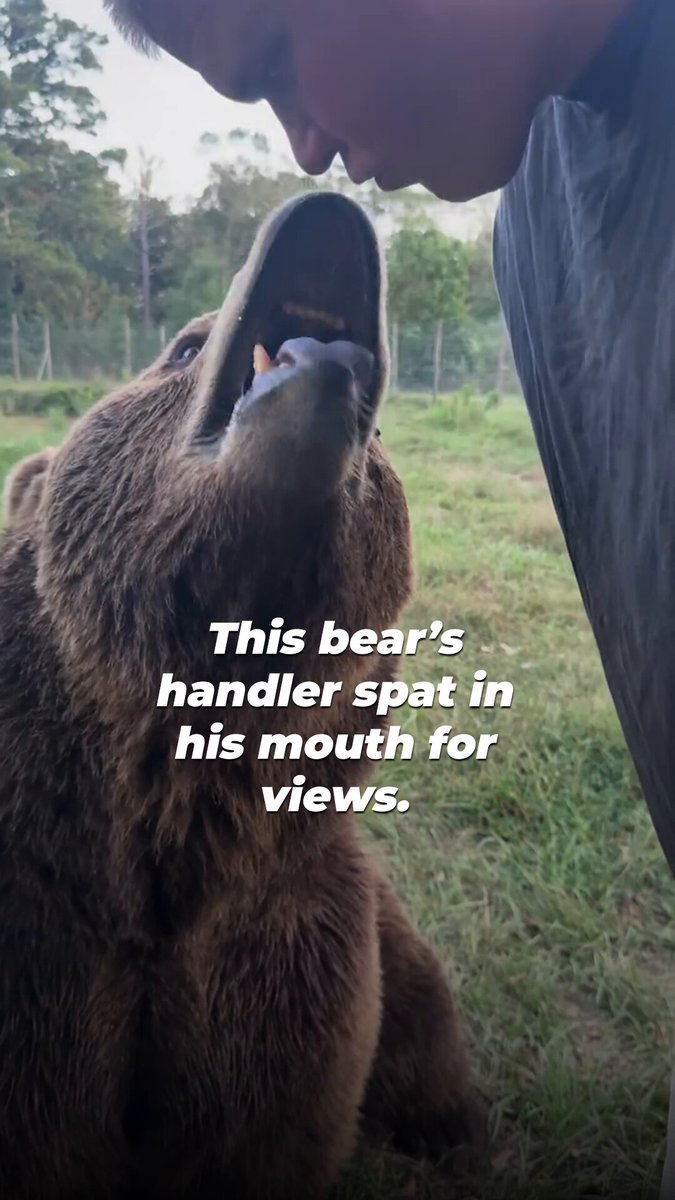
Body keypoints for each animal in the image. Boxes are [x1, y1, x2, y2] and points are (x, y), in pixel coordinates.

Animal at [0, 193, 484, 1199]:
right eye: (184, 348)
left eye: (382, 435)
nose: (330, 211)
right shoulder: (45, 949)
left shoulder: (282, 951)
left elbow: (257, 1132)